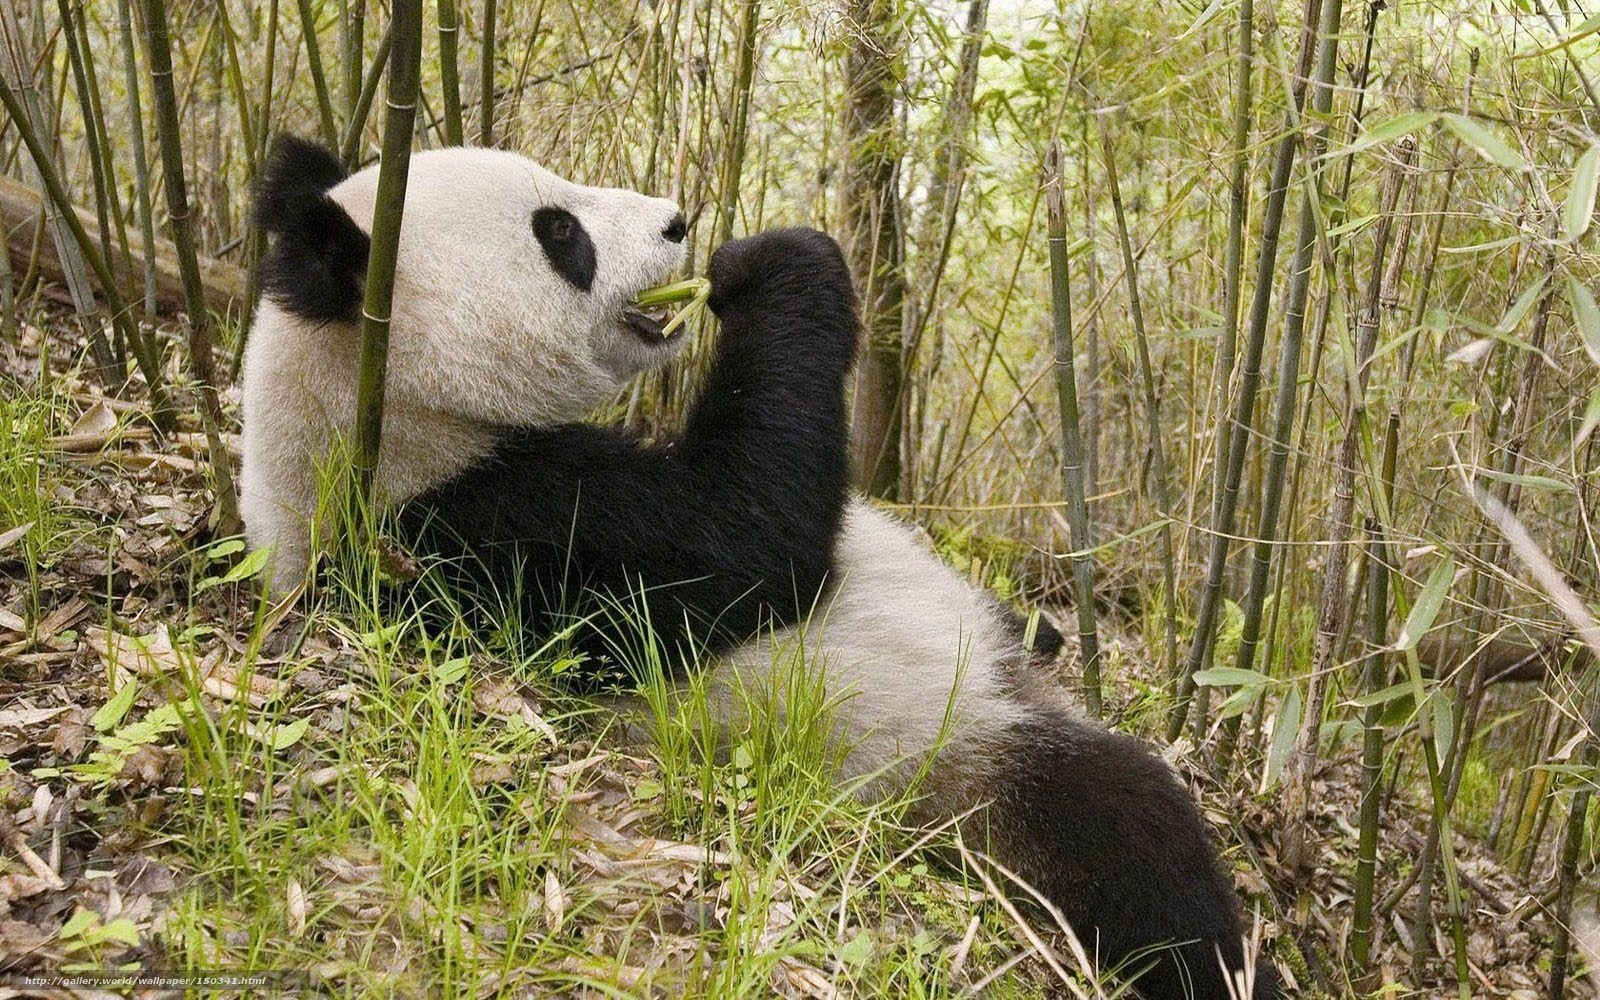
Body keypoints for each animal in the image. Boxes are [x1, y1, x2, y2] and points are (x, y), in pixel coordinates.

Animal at [240, 135, 1279, 1000]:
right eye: (559, 232)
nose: (677, 222)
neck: (381, 417)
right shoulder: (484, 532)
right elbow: (745, 543)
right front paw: (772, 264)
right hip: (951, 760)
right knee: (1135, 843)